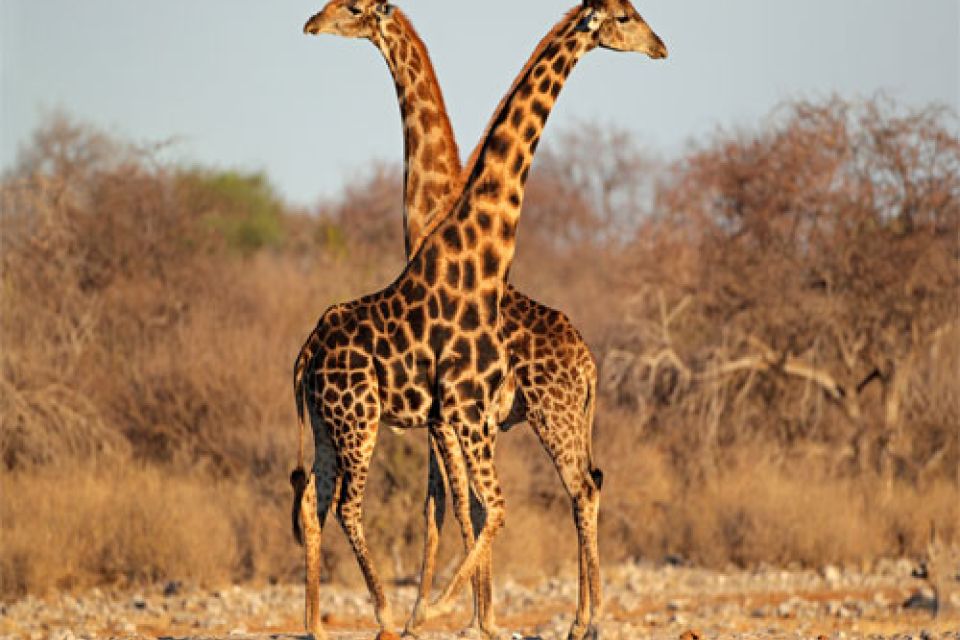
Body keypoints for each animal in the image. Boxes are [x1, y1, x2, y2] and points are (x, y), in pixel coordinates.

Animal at [292, 2, 668, 636]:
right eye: (625, 16)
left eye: (351, 7)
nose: (311, 22)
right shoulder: (452, 415)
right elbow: (460, 505)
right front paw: (454, 612)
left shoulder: (456, 416)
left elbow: (459, 505)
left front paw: (462, 613)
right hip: (356, 419)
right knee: (335, 502)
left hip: (525, 416)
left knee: (581, 488)